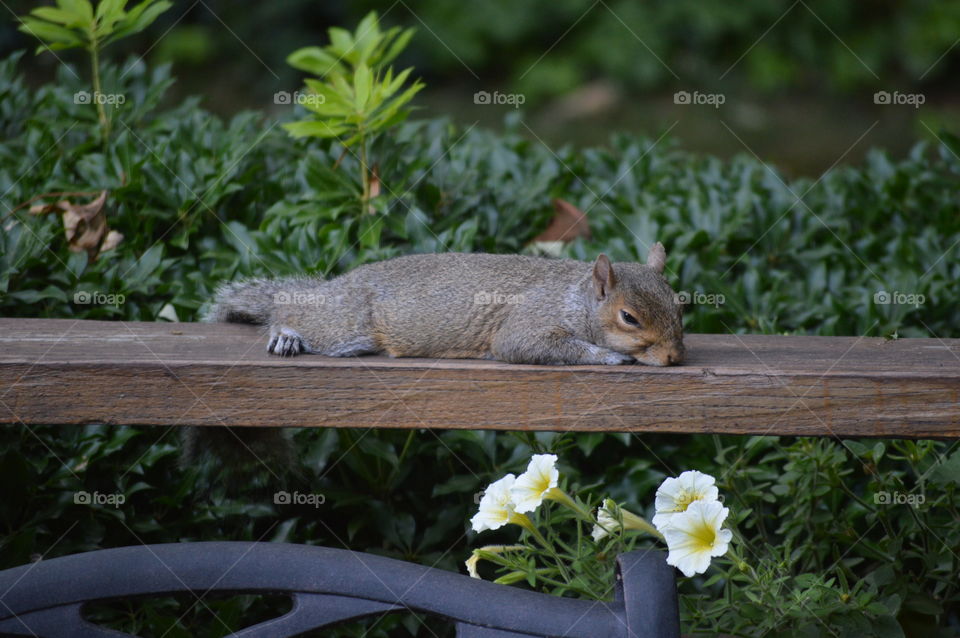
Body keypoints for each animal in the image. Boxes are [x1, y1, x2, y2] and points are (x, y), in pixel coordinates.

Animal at [184, 246, 684, 470]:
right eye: (628, 318)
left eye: (681, 304)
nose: (676, 356)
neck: (576, 298)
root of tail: (334, 288)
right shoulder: (525, 324)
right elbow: (529, 345)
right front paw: (609, 357)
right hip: (345, 326)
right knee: (292, 315)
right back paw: (286, 333)